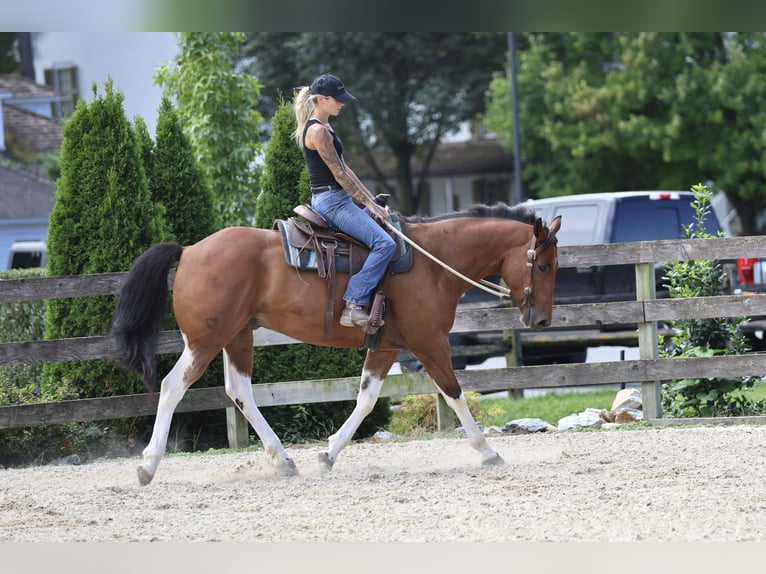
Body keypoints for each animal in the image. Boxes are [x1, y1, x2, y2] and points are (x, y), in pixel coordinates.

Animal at [111, 202, 562, 485]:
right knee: (172, 387)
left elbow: (366, 399)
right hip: (205, 340)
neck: (434, 260)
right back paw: (148, 465)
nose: (541, 319)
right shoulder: (429, 341)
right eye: (542, 265)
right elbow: (454, 393)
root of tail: (189, 250)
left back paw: (283, 460)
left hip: (238, 336)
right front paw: (488, 452)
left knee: (239, 391)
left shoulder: (386, 346)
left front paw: (328, 454)